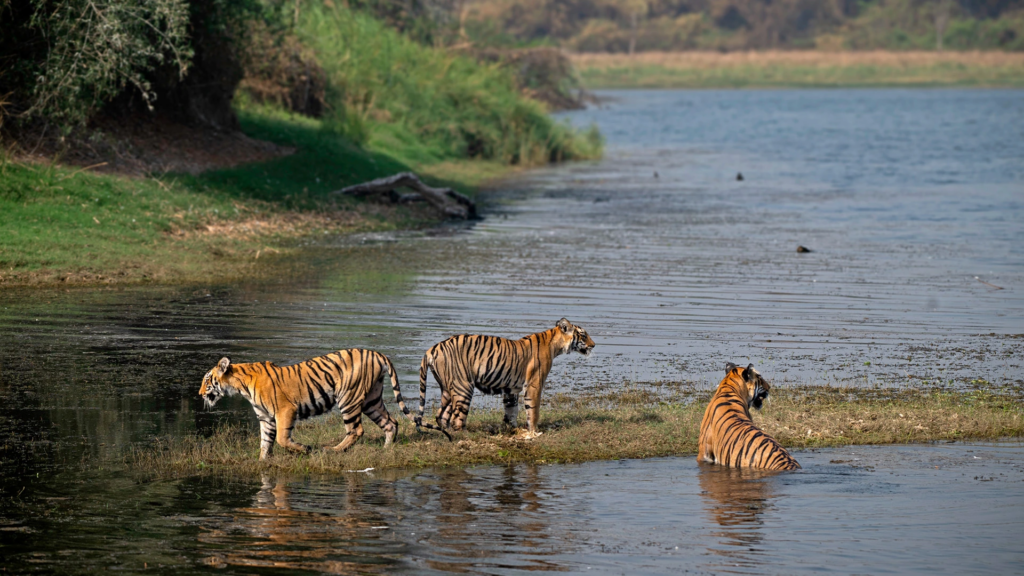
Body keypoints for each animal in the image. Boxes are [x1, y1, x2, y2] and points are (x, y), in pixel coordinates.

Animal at [199, 349, 428, 460]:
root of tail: (378, 354)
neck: (240, 385)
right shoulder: (265, 417)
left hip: (349, 398)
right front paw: (263, 462)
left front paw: (304, 449)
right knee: (390, 423)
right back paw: (387, 449)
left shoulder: (285, 410)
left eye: (207, 380)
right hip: (372, 400)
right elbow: (265, 442)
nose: (200, 394)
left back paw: (333, 450)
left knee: (356, 430)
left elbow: (281, 438)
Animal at [416, 318, 596, 437]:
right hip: (463, 387)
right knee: (457, 419)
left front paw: (513, 429)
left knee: (441, 415)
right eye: (583, 335)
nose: (593, 345)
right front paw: (534, 431)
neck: (555, 345)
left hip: (447, 389)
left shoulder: (511, 389)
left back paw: (447, 433)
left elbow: (511, 411)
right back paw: (467, 435)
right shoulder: (534, 384)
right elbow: (533, 410)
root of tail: (431, 349)